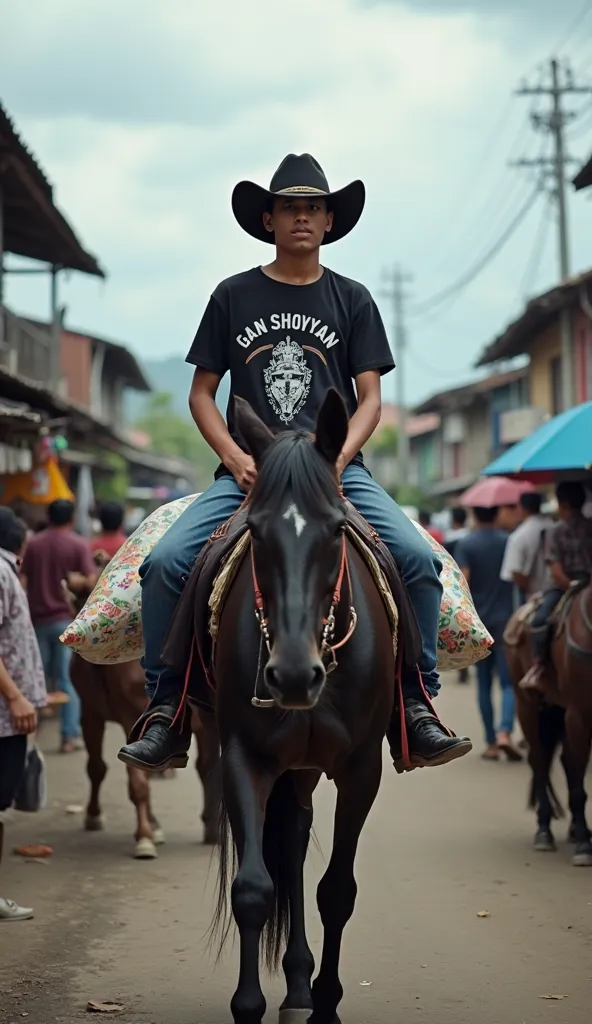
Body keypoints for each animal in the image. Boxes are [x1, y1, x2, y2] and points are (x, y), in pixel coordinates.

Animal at [209, 391, 393, 1024]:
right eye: (256, 533)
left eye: (336, 531)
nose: (291, 677)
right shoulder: (242, 756)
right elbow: (253, 890)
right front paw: (247, 1006)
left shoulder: (363, 767)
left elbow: (337, 891)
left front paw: (328, 1005)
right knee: (287, 846)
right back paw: (293, 984)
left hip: (308, 768)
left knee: (295, 839)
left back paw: (303, 987)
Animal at [501, 577, 589, 864]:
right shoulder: (578, 712)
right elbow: (578, 783)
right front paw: (584, 846)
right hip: (527, 706)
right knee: (539, 760)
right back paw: (544, 832)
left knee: (564, 761)